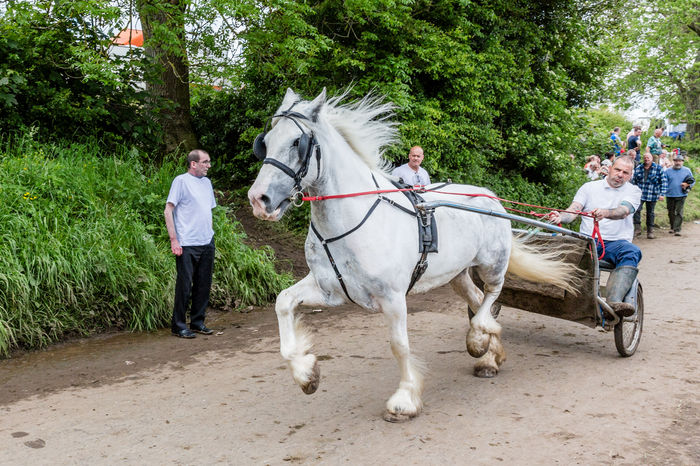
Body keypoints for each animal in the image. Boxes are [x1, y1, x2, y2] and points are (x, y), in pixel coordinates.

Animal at [249, 88, 576, 422]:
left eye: (297, 143)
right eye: (266, 141)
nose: (258, 199)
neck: (350, 222)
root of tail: (490, 197)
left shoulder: (393, 298)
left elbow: (399, 345)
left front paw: (404, 400)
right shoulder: (330, 289)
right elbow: (283, 302)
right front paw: (306, 373)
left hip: (492, 264)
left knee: (492, 296)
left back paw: (478, 339)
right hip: (457, 274)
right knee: (478, 301)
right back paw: (489, 356)